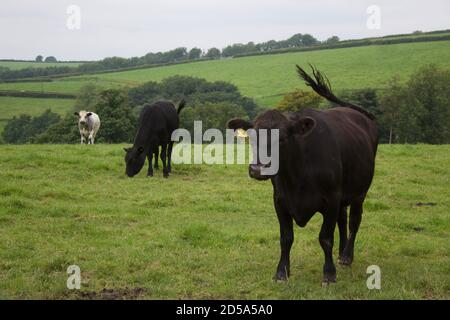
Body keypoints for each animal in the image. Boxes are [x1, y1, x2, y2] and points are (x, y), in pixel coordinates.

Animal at [227, 65, 378, 284]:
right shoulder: (280, 201)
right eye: (252, 138)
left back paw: (347, 255)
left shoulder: (331, 199)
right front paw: (282, 272)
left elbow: (325, 238)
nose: (257, 169)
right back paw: (342, 253)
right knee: (342, 220)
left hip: (360, 192)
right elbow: (286, 238)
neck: (297, 177)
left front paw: (329, 273)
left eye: (282, 139)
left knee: (354, 221)